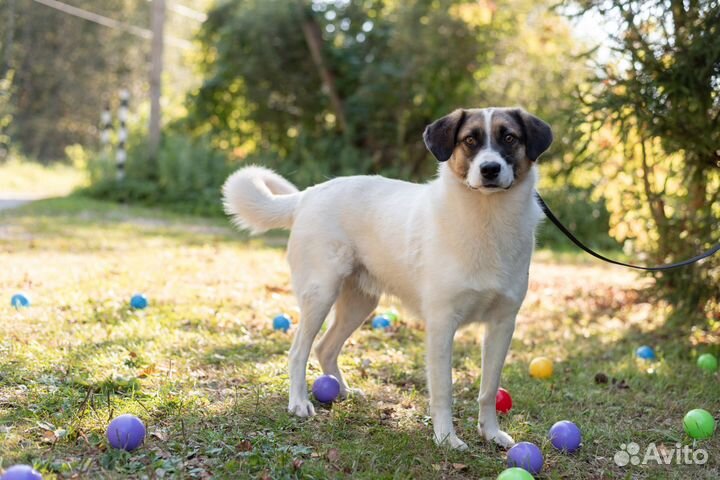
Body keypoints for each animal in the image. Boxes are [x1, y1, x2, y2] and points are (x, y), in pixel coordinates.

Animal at [224, 107, 552, 448]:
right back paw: (299, 403)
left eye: (509, 138)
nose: (490, 169)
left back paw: (343, 391)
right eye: (470, 140)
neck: (487, 217)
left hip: (360, 303)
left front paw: (490, 433)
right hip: (320, 294)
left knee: (325, 347)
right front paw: (446, 438)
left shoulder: (503, 324)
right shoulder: (442, 324)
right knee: (298, 351)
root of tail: (308, 196)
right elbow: (443, 390)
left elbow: (488, 389)